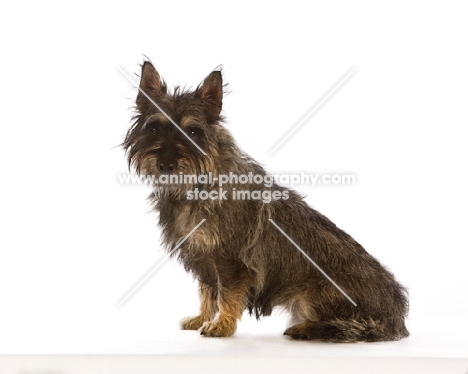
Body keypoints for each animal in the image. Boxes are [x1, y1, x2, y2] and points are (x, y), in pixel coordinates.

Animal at [122, 61, 408, 342]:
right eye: (154, 127)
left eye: (193, 131)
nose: (165, 164)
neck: (198, 184)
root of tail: (396, 317)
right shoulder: (205, 258)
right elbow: (207, 291)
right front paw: (202, 317)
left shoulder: (230, 261)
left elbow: (225, 294)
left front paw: (222, 325)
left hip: (313, 295)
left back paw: (305, 329)